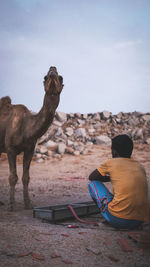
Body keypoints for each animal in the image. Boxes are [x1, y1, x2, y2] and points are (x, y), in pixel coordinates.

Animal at [0, 66, 63, 211]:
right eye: (45, 77)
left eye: (61, 78)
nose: (52, 69)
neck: (26, 127)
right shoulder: (10, 149)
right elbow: (13, 177)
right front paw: (12, 205)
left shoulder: (29, 149)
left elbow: (26, 177)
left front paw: (28, 203)